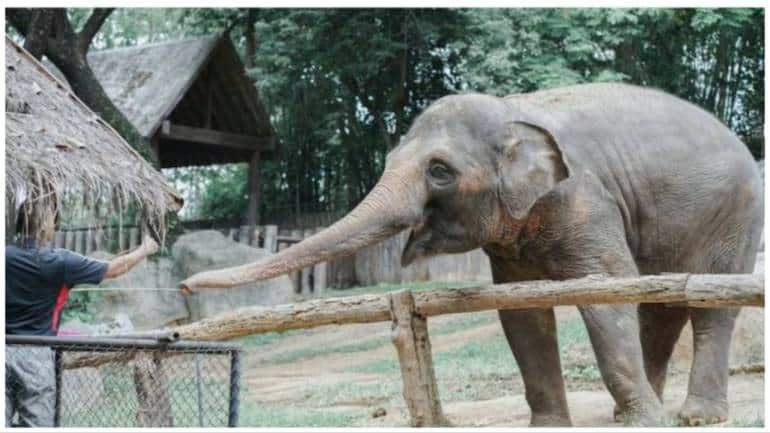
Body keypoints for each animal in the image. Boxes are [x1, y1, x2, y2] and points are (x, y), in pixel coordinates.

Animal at [181, 83, 763, 427]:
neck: (515, 111)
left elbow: (604, 289)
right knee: (661, 306)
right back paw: (639, 412)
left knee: (709, 305)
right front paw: (550, 427)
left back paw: (691, 418)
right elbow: (521, 314)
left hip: (737, 217)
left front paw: (645, 422)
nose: (185, 287)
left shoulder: (583, 198)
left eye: (440, 170)